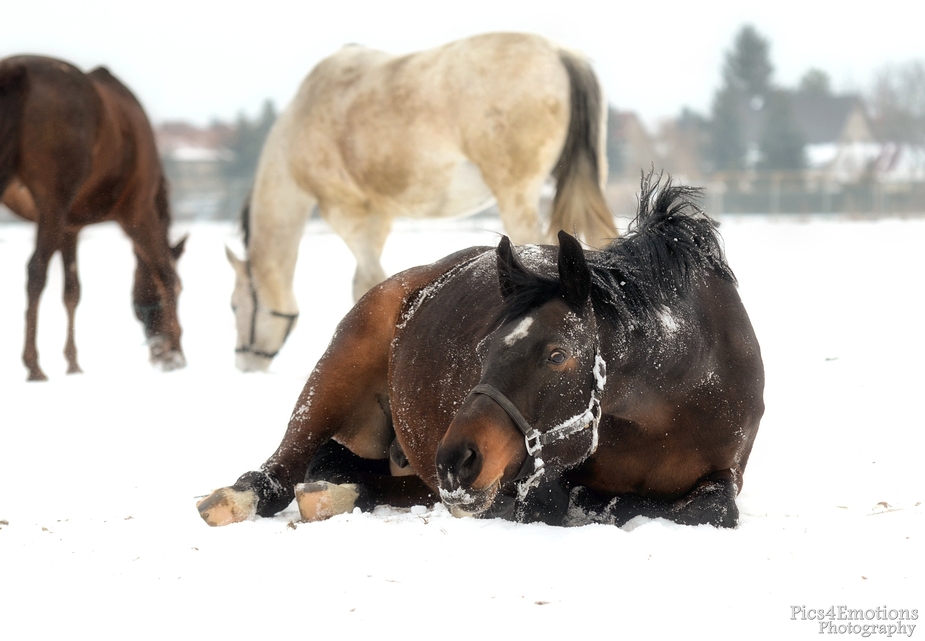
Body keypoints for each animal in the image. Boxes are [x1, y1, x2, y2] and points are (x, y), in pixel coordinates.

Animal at [0, 56, 186, 380]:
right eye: (183, 290)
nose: (159, 354)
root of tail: (15, 70)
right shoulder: (139, 212)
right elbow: (164, 272)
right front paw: (176, 351)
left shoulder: (70, 227)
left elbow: (72, 291)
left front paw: (73, 363)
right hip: (53, 206)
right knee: (36, 272)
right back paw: (33, 364)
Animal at [197, 174, 764, 524]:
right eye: (486, 345)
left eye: (557, 354)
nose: (456, 460)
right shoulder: (538, 483)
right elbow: (575, 502)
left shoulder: (727, 475)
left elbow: (712, 509)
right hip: (334, 377)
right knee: (279, 470)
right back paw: (237, 498)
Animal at [226, 32, 612, 372]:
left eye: (233, 306)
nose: (245, 364)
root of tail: (561, 53)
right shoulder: (379, 216)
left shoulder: (345, 212)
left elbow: (369, 280)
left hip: (516, 194)